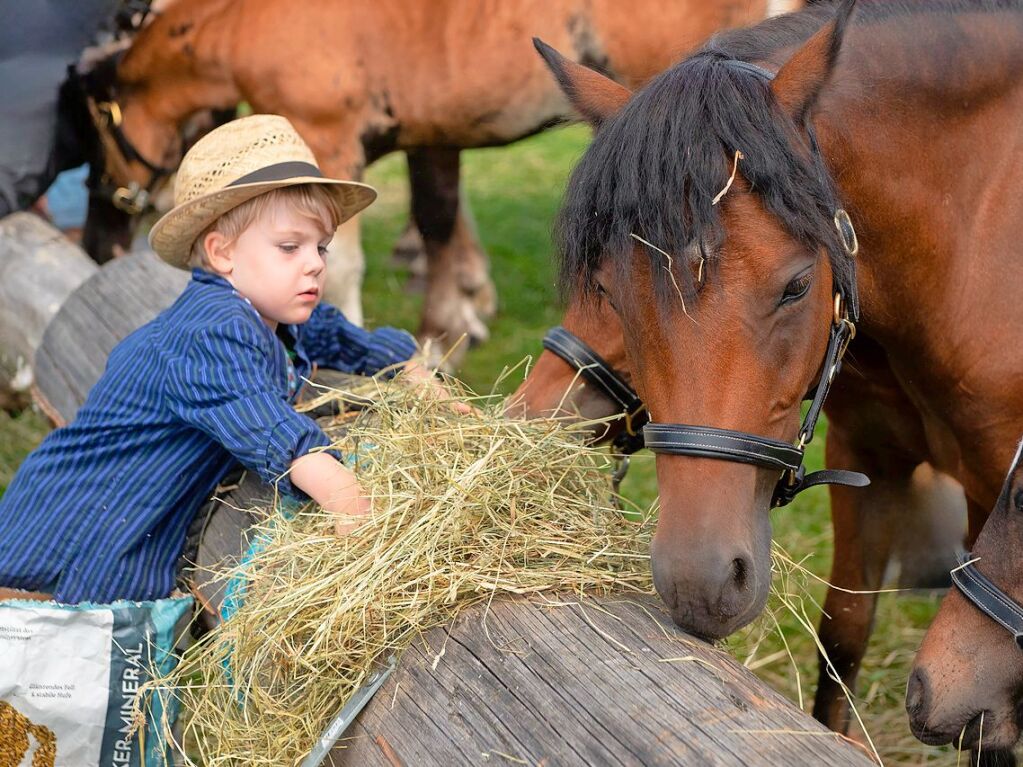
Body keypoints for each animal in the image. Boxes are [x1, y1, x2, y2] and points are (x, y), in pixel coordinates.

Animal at [79, 0, 769, 364]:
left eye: (94, 127)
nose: (96, 240)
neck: (245, 21)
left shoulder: (330, 138)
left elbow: (342, 263)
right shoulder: (432, 133)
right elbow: (438, 219)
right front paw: (446, 331)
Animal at [531, 0, 1023, 756]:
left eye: (795, 286)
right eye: (610, 289)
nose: (698, 581)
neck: (977, 229)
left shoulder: (994, 489)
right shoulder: (868, 458)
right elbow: (842, 637)